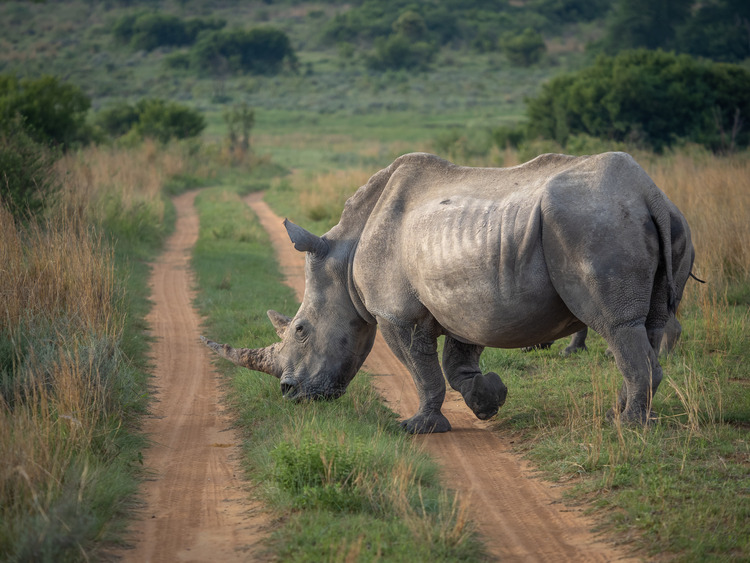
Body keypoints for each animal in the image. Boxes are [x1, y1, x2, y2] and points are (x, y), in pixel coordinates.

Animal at [203, 152, 696, 434]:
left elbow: (423, 372)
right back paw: (629, 414)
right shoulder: (466, 300)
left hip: (591, 222)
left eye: (301, 330)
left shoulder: (396, 315)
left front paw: (417, 427)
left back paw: (627, 429)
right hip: (664, 219)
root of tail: (647, 192)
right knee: (649, 325)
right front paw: (490, 400)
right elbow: (457, 365)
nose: (289, 394)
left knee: (618, 325)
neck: (343, 258)